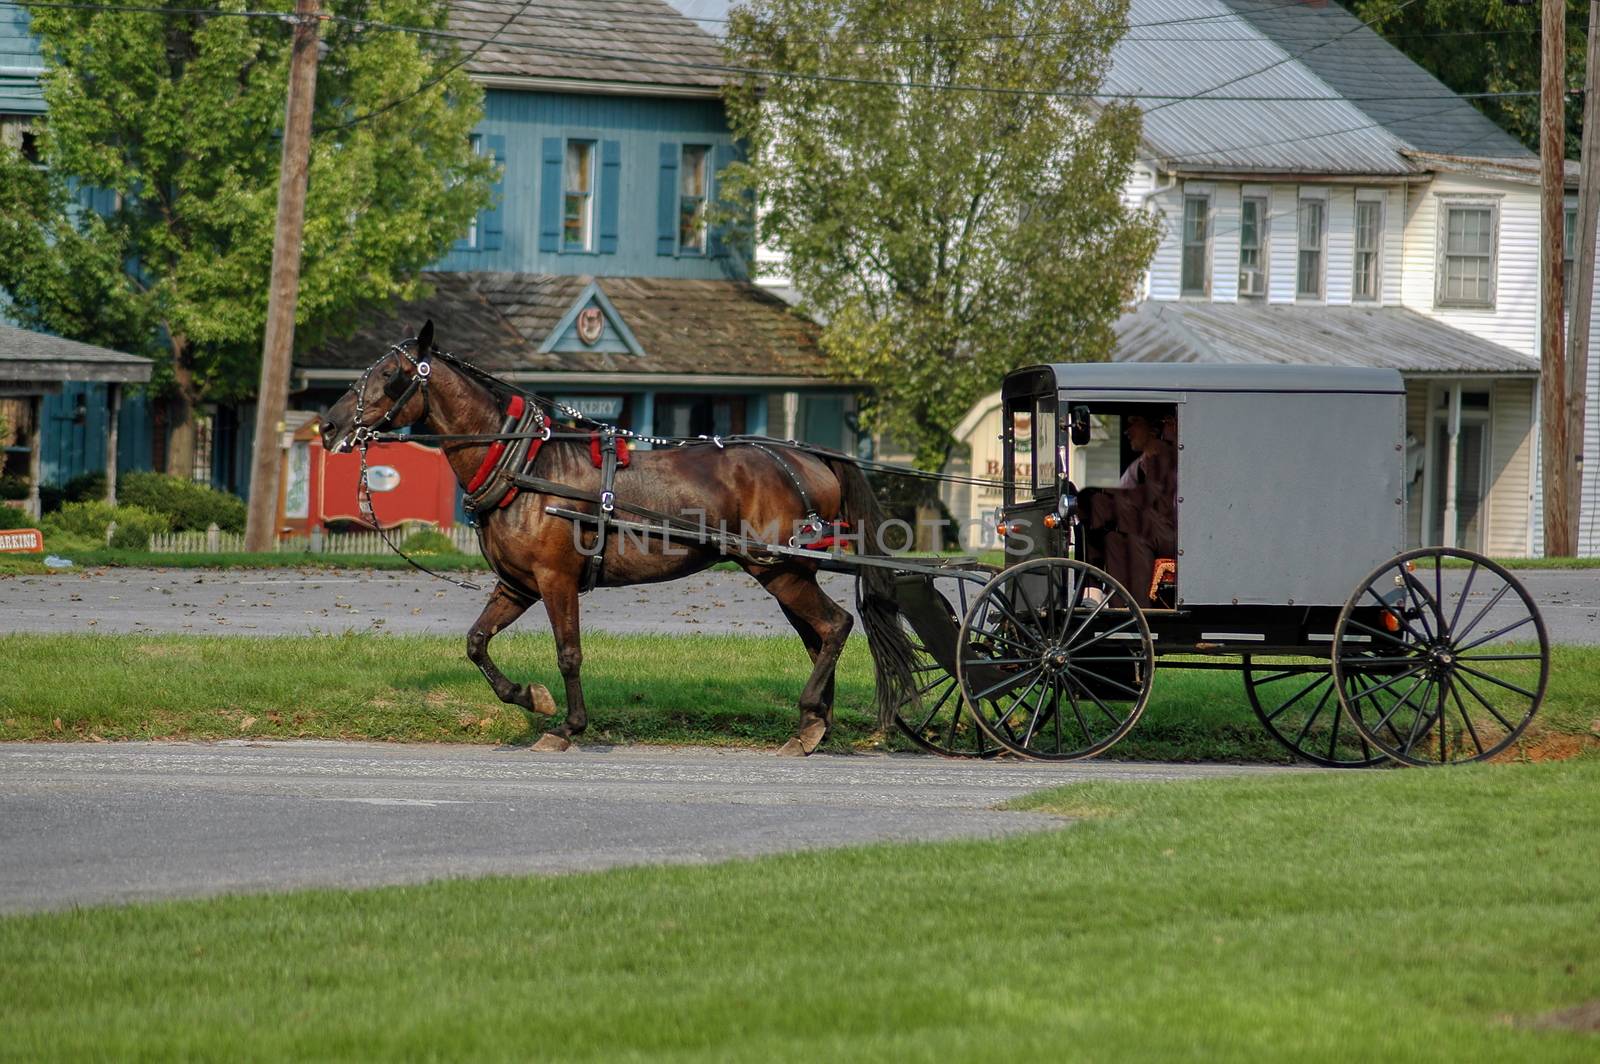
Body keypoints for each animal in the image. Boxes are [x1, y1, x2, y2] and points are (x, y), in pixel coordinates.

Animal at [318, 320, 915, 752]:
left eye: (390, 375)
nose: (327, 425)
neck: (524, 466)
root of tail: (810, 456)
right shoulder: (517, 585)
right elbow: (476, 642)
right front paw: (531, 698)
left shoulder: (556, 578)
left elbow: (569, 653)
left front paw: (567, 726)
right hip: (783, 570)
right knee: (819, 636)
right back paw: (813, 725)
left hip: (781, 568)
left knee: (834, 626)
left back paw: (810, 720)